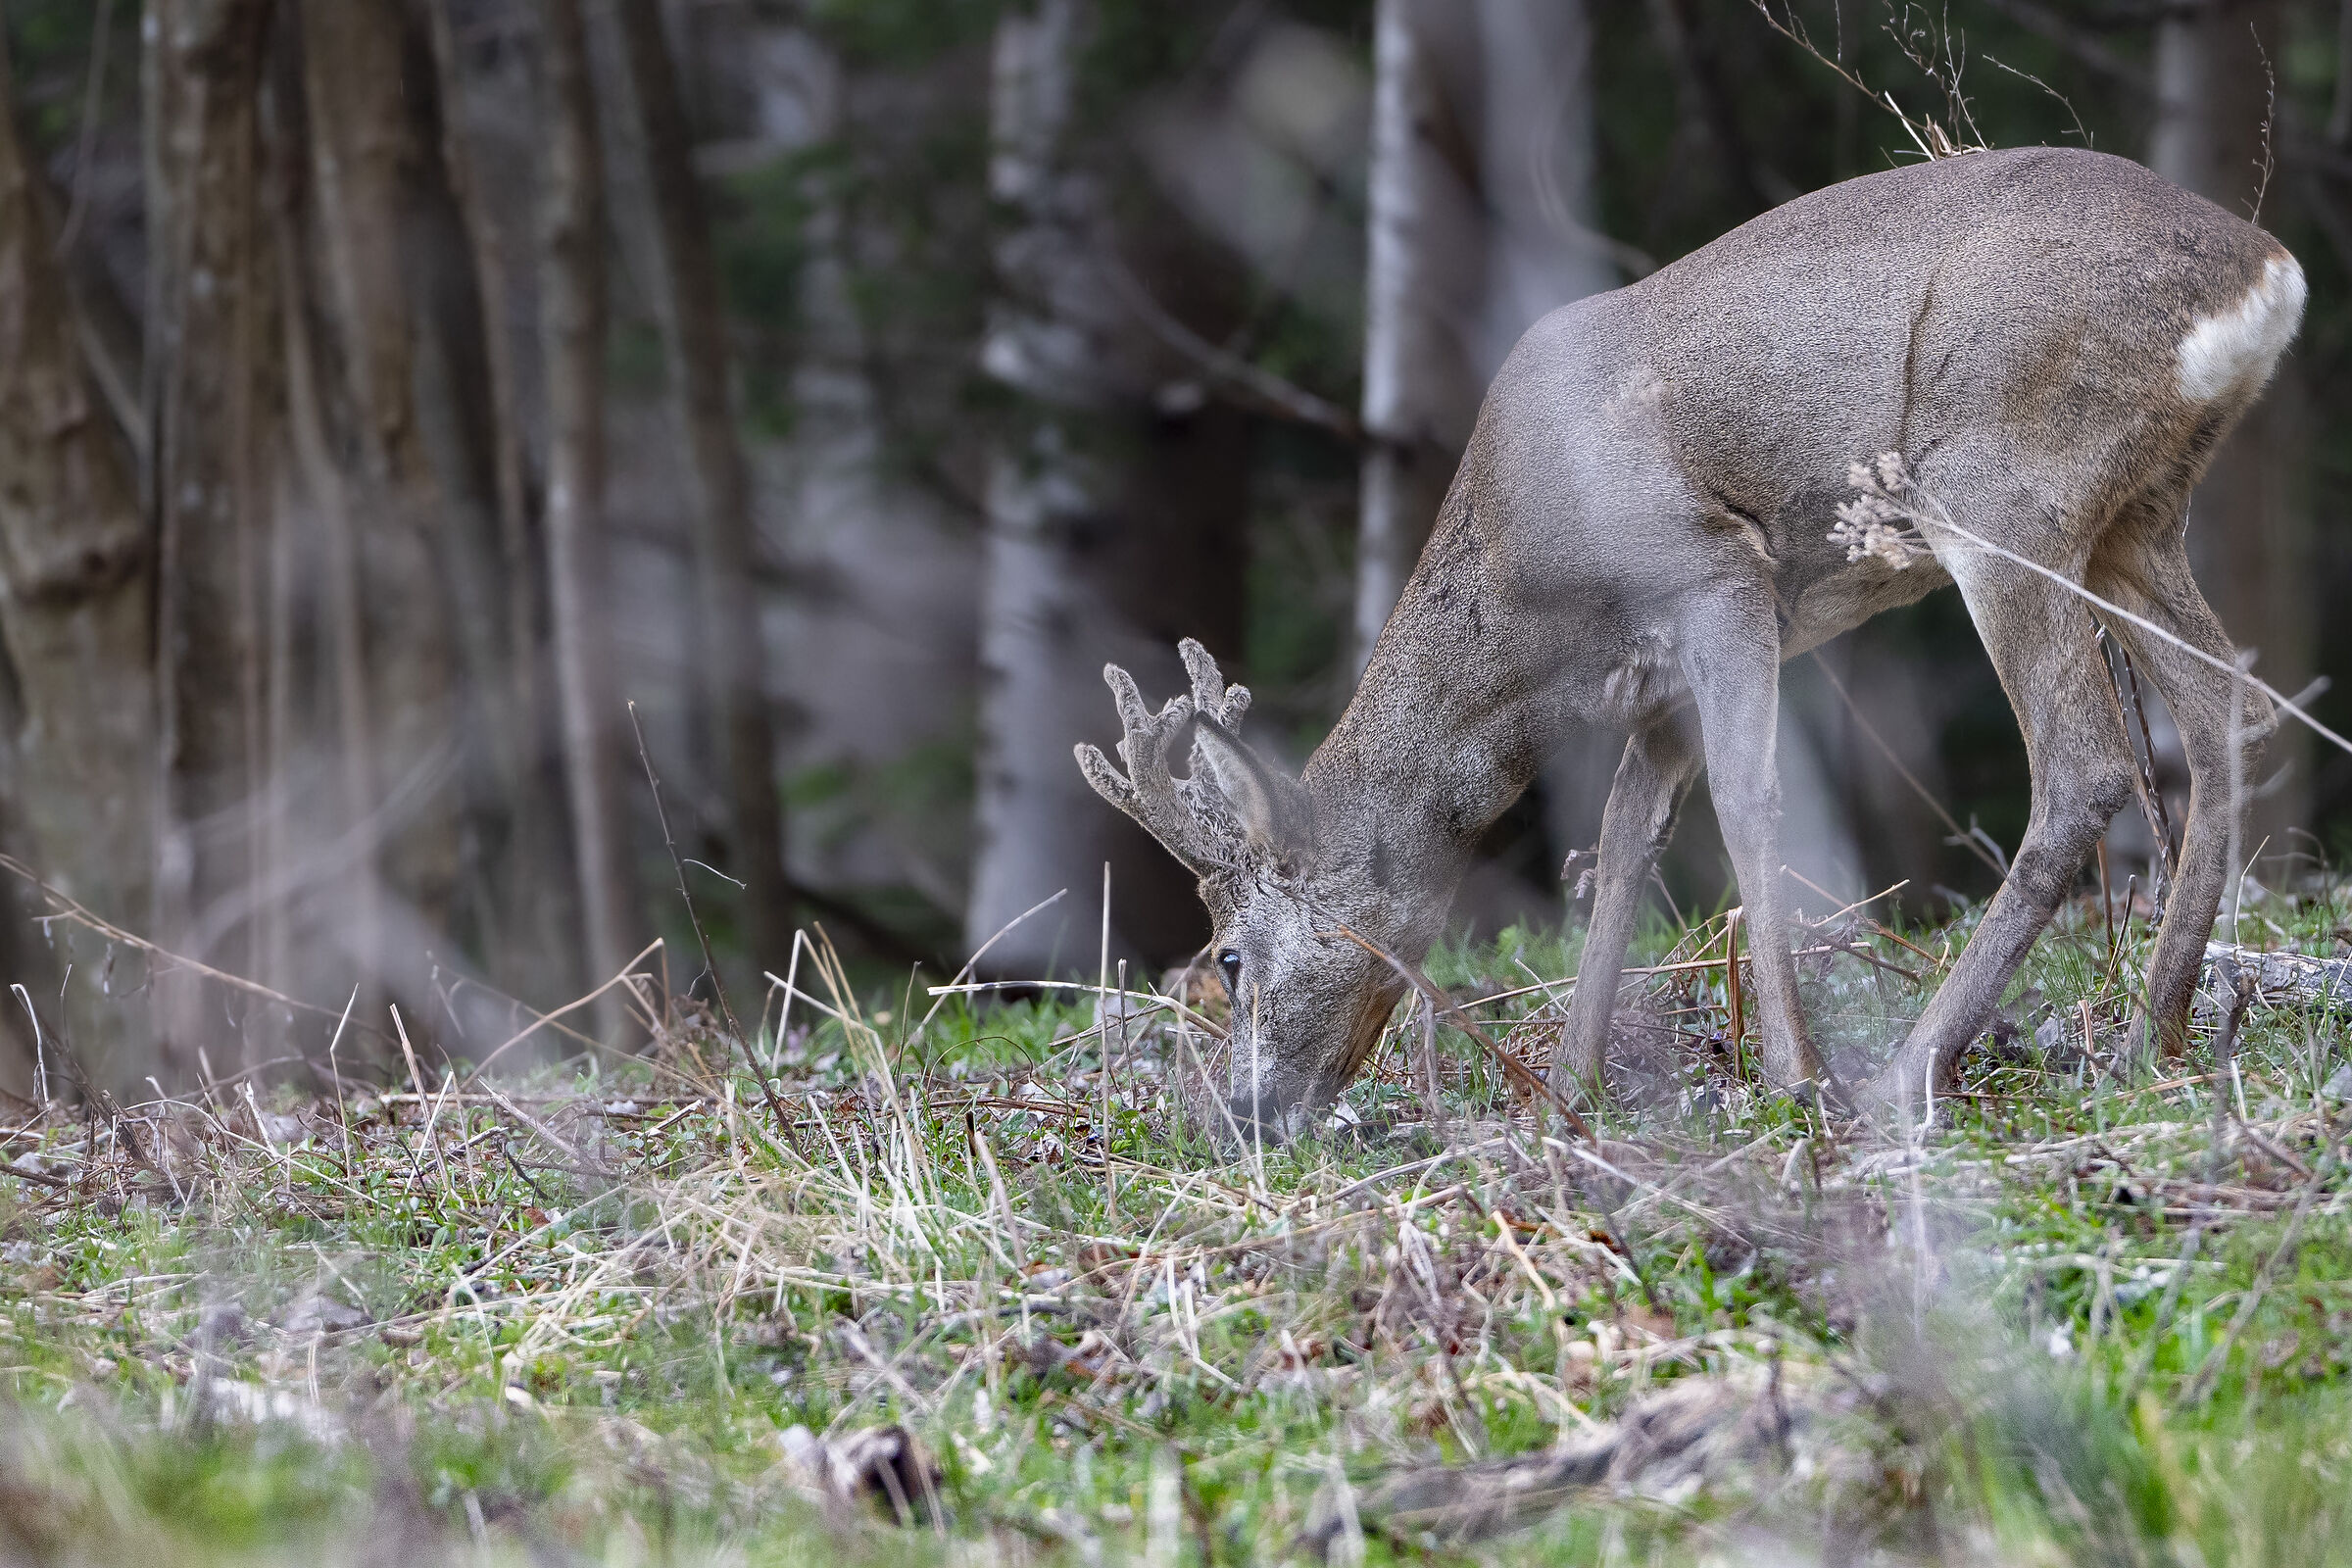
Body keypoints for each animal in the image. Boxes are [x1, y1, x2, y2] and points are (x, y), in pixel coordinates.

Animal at [1076, 147, 2306, 1141]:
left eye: (1231, 957)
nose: (1238, 1120)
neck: (1532, 622)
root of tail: (2268, 270)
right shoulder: (1658, 678)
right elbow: (1626, 840)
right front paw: (1571, 1085)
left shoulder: (1718, 574)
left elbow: (1748, 804)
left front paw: (1792, 1075)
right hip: (2135, 517)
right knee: (2228, 710)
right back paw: (2154, 1037)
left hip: (2002, 486)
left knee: (2087, 764)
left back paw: (1909, 1071)